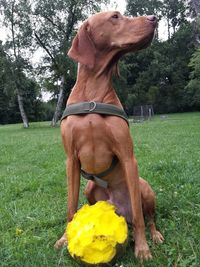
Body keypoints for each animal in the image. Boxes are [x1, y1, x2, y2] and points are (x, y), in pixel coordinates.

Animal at [55, 11, 164, 262]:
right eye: (115, 16)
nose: (154, 18)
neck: (93, 94)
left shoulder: (127, 156)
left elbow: (141, 217)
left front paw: (142, 248)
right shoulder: (71, 160)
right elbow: (70, 208)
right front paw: (65, 239)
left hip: (145, 187)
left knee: (147, 217)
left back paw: (154, 235)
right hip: (89, 188)